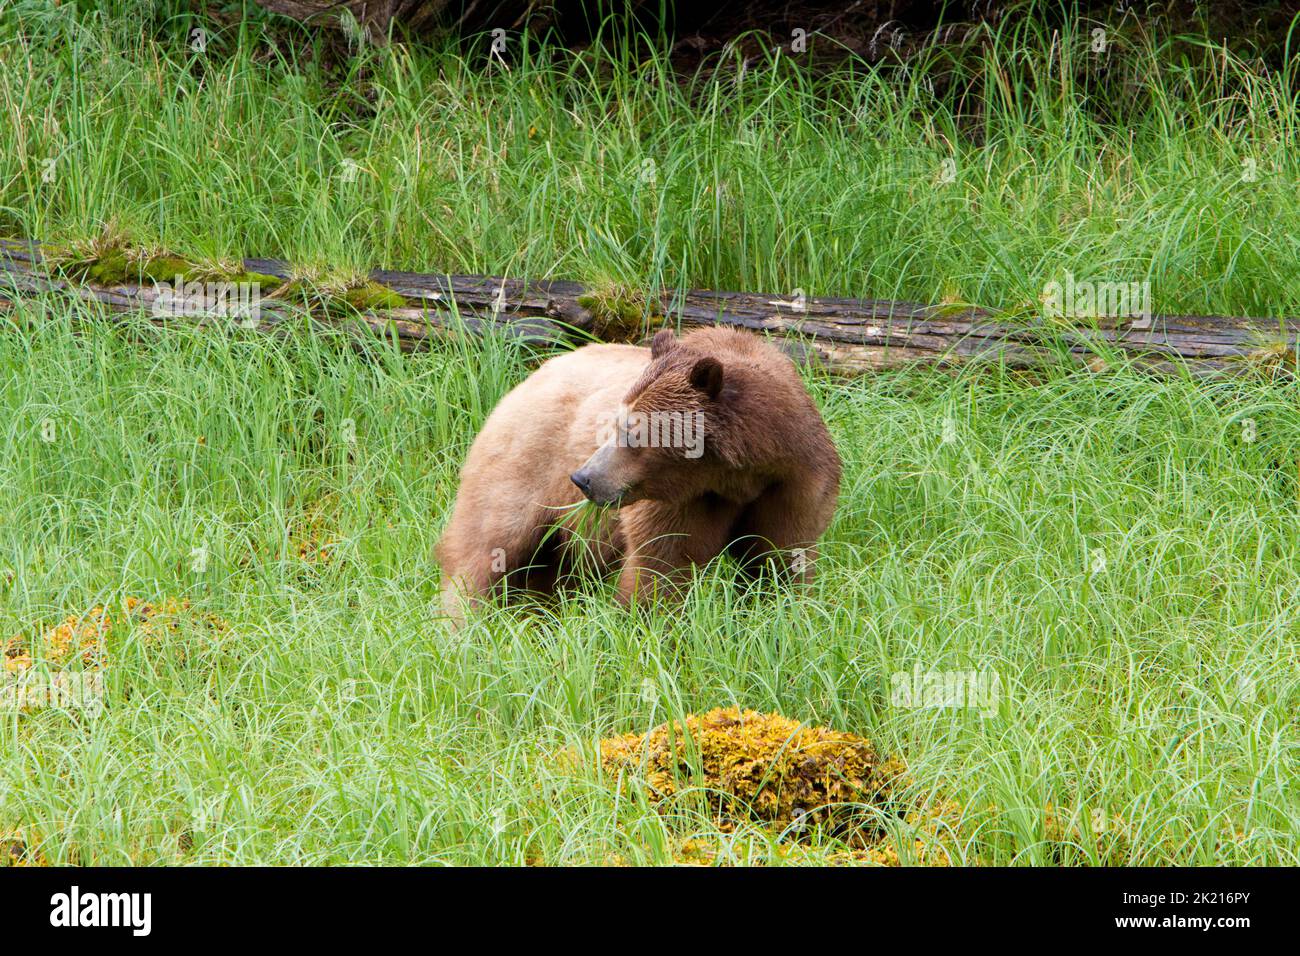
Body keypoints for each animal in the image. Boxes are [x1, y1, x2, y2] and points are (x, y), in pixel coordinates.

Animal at [436, 325, 842, 624]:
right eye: (614, 423)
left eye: (632, 432)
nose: (583, 478)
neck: (733, 477)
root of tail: (535, 374)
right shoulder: (681, 501)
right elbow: (663, 566)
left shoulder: (794, 484)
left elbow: (780, 560)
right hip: (523, 466)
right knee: (489, 546)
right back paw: (460, 622)